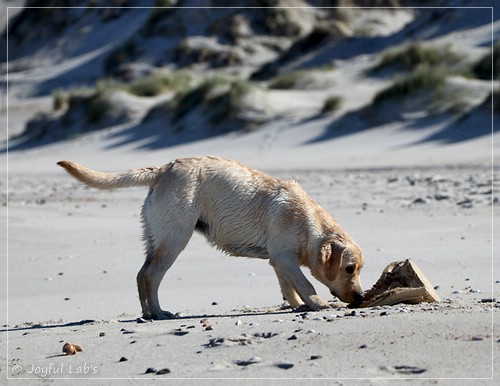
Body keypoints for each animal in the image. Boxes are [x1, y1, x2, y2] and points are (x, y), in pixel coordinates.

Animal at [57, 155, 364, 318]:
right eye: (349, 269)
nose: (361, 297)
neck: (310, 225)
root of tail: (162, 169)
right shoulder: (284, 257)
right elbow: (305, 284)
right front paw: (317, 304)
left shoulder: (278, 260)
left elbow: (289, 287)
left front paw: (297, 305)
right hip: (175, 239)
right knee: (151, 276)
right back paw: (159, 312)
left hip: (156, 239)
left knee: (140, 274)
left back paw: (147, 314)